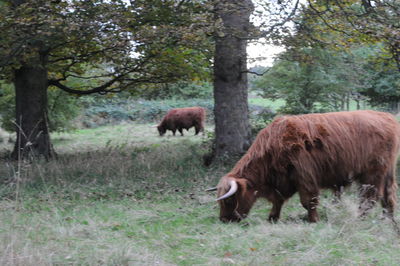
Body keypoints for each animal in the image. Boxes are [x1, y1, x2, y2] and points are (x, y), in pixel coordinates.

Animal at [208, 110, 400, 222]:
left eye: (230, 200)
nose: (224, 219)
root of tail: (388, 117)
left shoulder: (305, 176)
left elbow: (308, 201)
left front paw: (313, 220)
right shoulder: (282, 182)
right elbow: (278, 200)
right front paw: (272, 218)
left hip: (372, 174)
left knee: (370, 197)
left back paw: (361, 219)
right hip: (387, 172)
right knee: (388, 196)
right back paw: (388, 220)